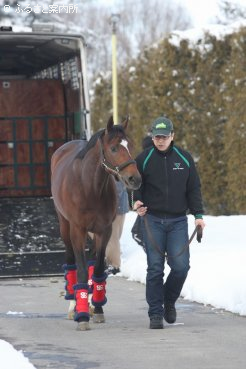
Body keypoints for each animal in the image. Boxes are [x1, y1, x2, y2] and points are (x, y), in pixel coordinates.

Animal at [51, 116, 141, 330]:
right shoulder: (78, 230)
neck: (89, 186)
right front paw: (81, 314)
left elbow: (98, 268)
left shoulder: (104, 230)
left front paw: (97, 308)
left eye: (130, 145)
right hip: (65, 226)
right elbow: (82, 271)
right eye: (114, 148)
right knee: (71, 262)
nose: (135, 179)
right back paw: (73, 305)